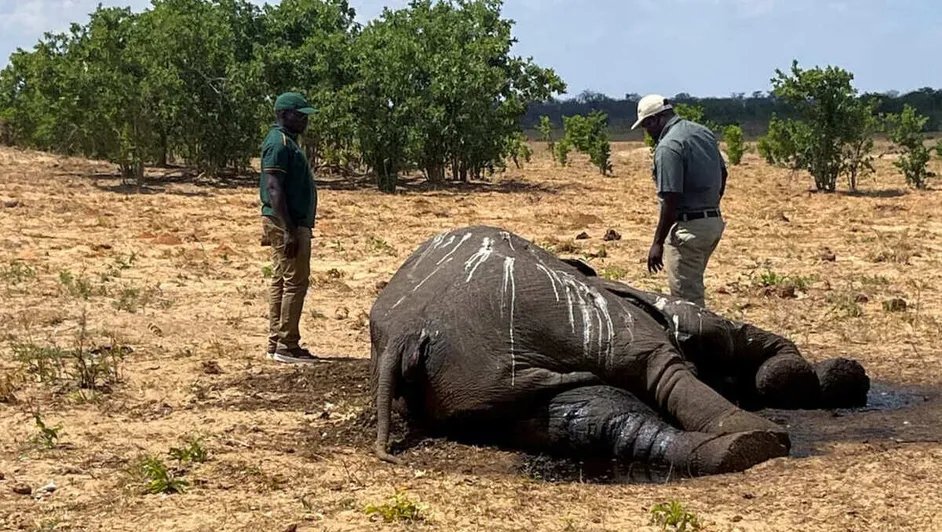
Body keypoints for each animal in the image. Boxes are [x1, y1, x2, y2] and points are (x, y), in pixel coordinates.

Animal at [368, 227, 872, 476]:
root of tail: (409, 331)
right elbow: (729, 337)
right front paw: (824, 379)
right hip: (562, 313)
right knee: (657, 366)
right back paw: (754, 439)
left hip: (478, 381)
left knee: (592, 419)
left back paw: (731, 450)